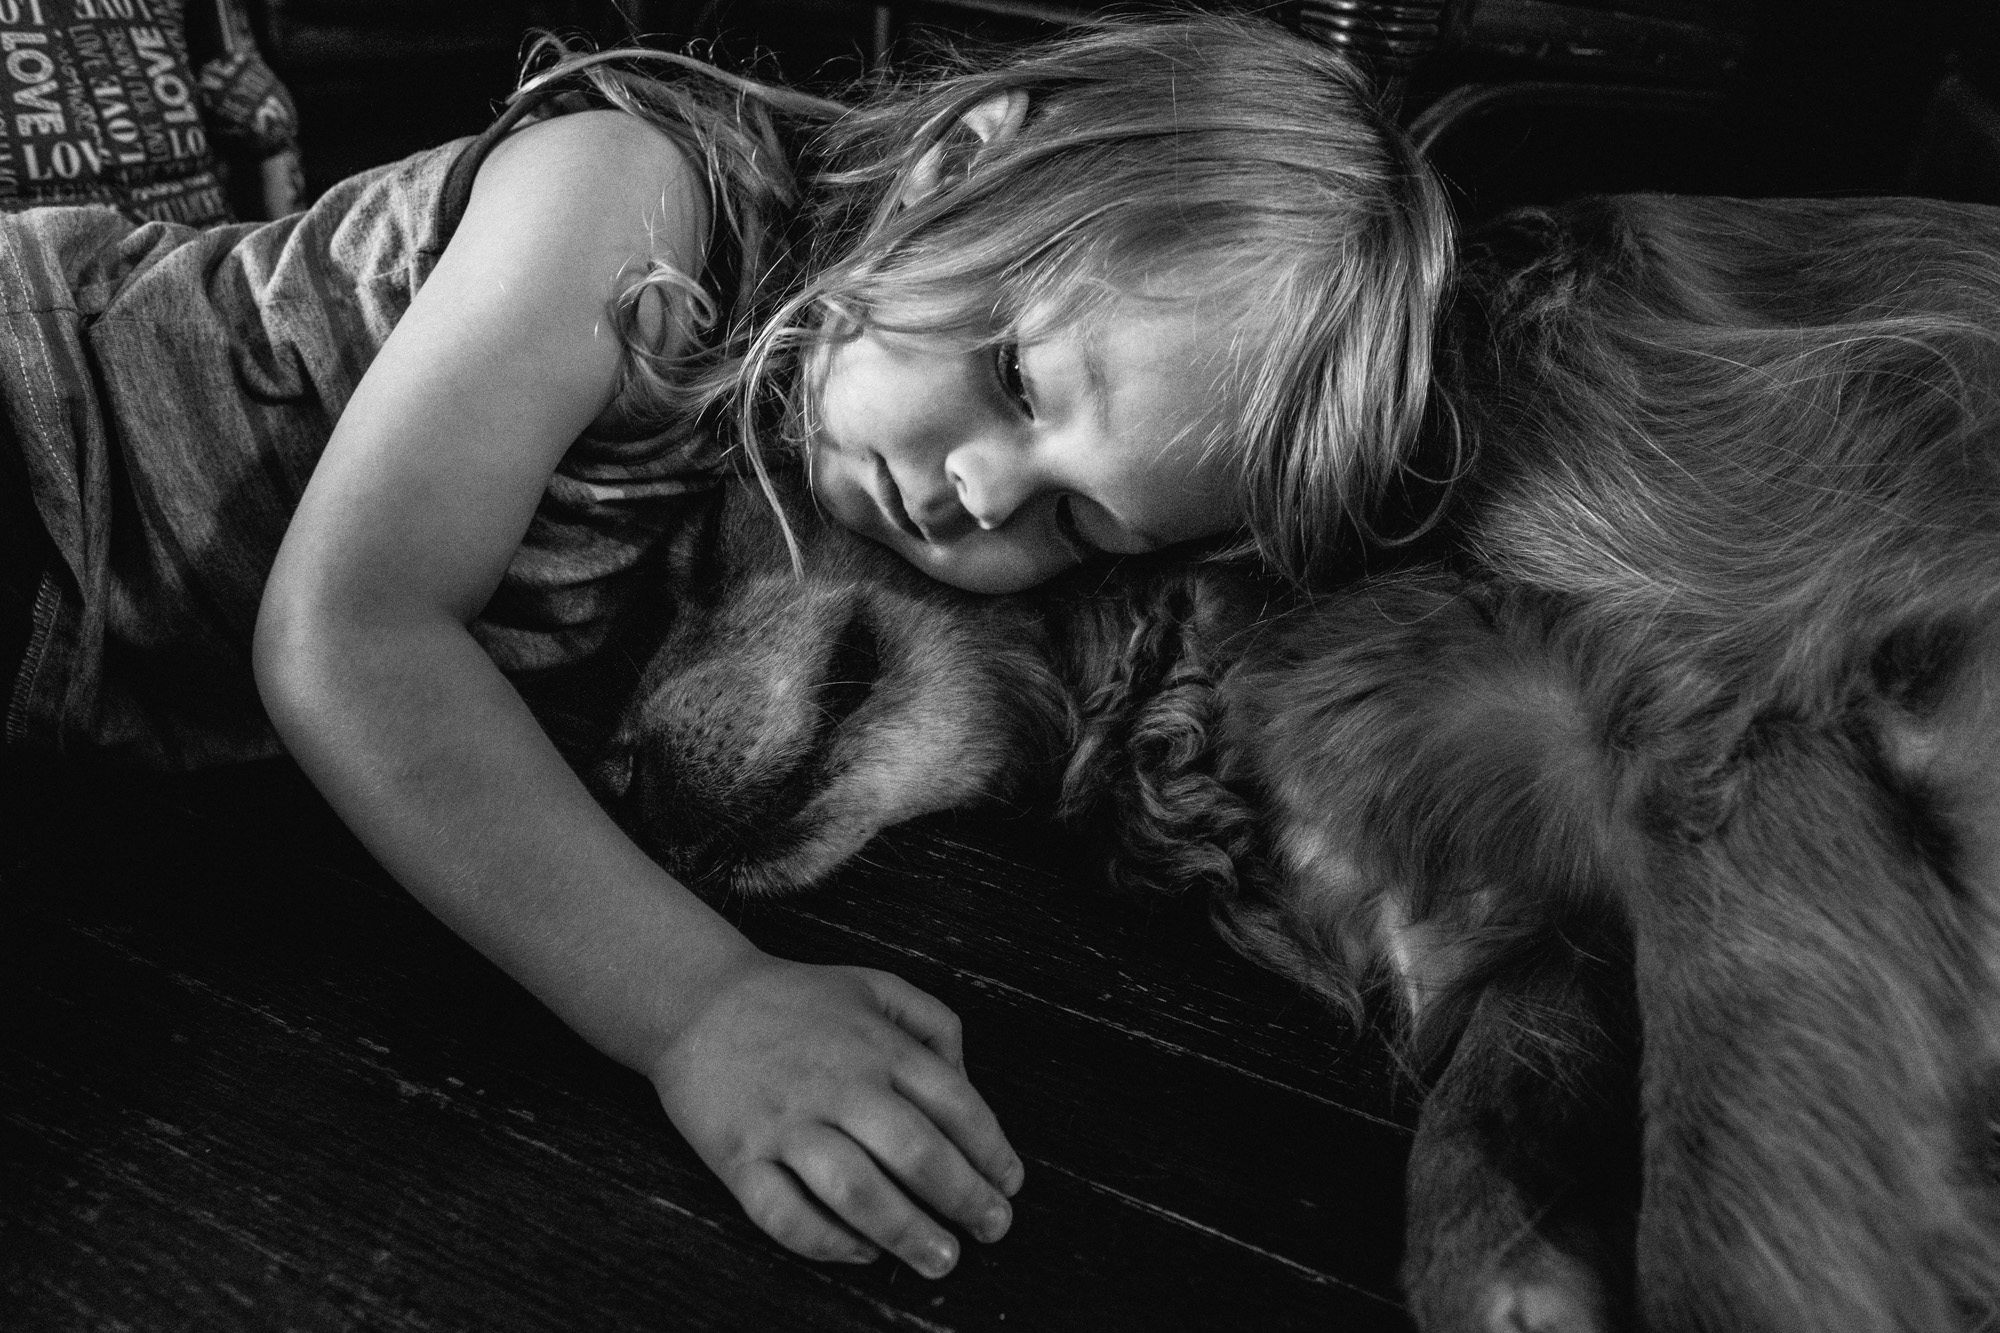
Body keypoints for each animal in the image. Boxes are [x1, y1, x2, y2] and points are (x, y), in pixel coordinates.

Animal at [572, 192, 2000, 1320]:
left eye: (696, 558)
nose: (616, 777)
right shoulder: (1543, 925)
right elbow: (1479, 1124)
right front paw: (1517, 1284)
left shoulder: (1736, 750)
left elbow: (1727, 1222)